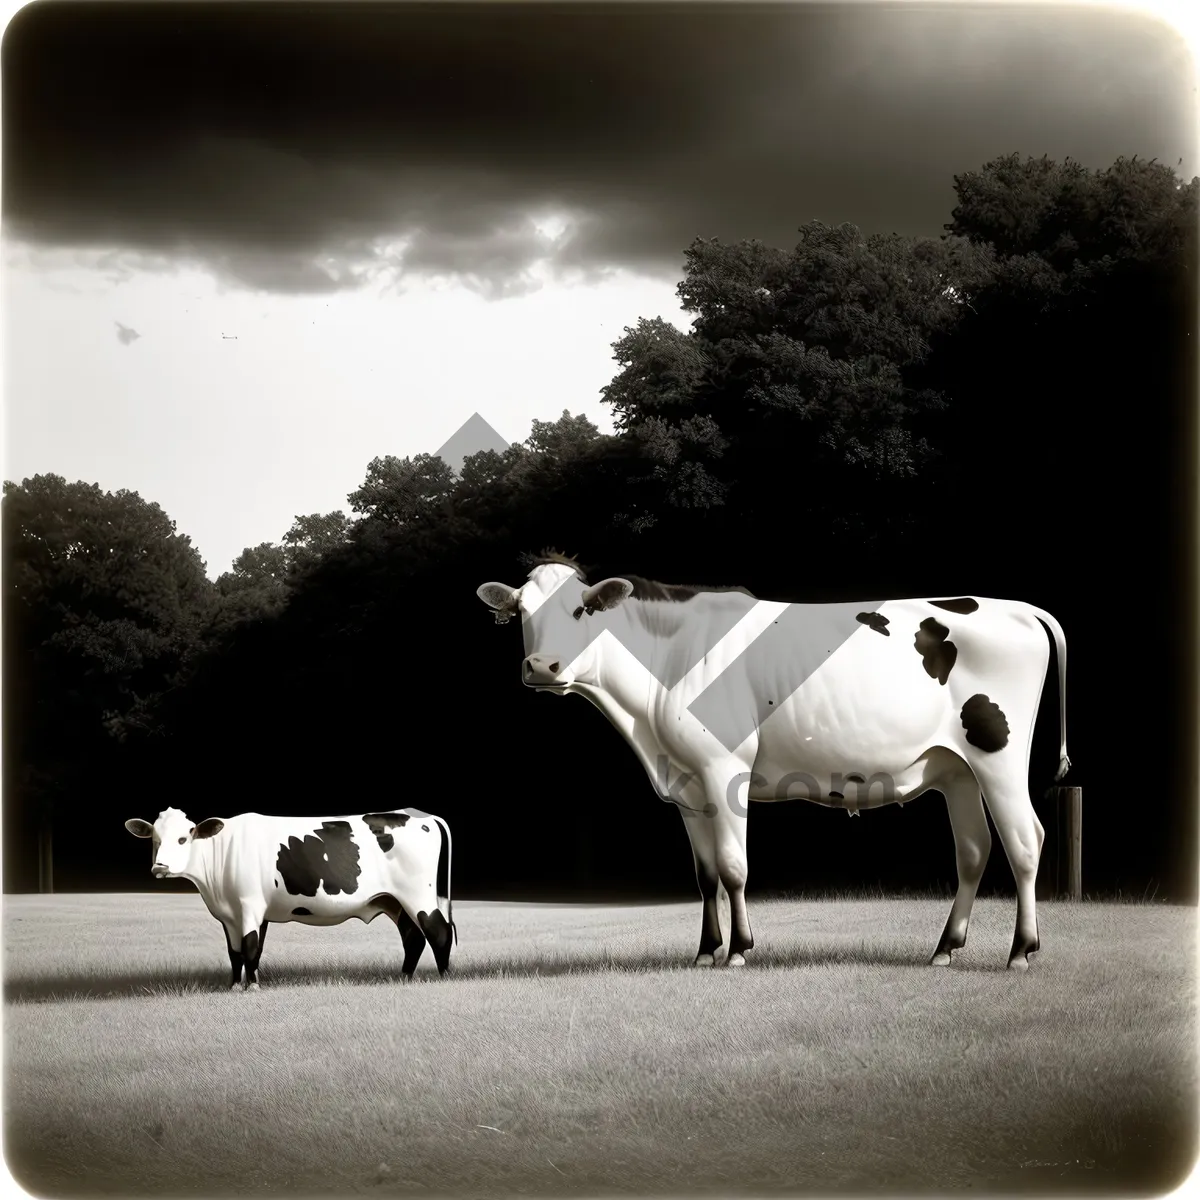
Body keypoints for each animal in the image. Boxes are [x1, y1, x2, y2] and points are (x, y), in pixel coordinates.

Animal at [125, 811, 453, 988]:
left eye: (184, 838)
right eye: (155, 838)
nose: (160, 867)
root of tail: (420, 816)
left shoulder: (250, 904)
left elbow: (249, 946)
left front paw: (253, 987)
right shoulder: (231, 914)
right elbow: (237, 952)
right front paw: (234, 985)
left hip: (418, 894)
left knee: (439, 932)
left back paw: (444, 977)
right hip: (393, 900)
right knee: (413, 937)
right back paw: (403, 977)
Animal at [477, 549, 1070, 969]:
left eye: (581, 609)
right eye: (520, 612)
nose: (543, 666)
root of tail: (1011, 606)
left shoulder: (723, 766)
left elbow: (734, 866)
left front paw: (739, 949)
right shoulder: (686, 785)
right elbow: (706, 874)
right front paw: (705, 950)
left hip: (998, 754)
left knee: (1024, 841)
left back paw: (1021, 951)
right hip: (957, 769)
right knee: (974, 849)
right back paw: (945, 948)